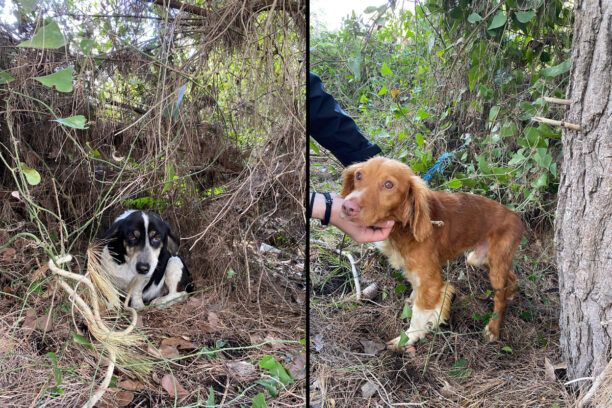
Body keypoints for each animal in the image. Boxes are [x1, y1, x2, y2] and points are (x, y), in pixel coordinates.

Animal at [342, 158, 524, 350]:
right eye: (359, 175)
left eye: (388, 184)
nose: (347, 206)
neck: (403, 229)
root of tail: (516, 217)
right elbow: (415, 291)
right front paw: (413, 300)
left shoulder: (432, 283)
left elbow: (419, 314)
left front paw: (407, 338)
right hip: (478, 259)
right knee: (510, 277)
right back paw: (511, 292)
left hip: (494, 264)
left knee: (499, 298)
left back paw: (493, 328)